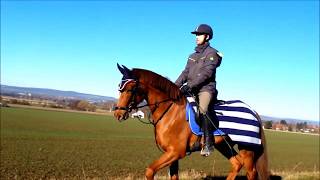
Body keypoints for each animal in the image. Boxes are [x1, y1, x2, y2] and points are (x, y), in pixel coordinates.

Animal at [114, 65, 268, 180]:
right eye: (119, 88)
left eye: (130, 89)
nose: (118, 114)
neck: (170, 111)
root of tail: (253, 111)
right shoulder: (172, 155)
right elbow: (173, 177)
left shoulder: (175, 152)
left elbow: (150, 171)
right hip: (224, 145)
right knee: (236, 164)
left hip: (247, 149)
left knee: (251, 172)